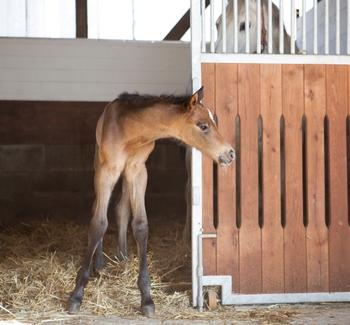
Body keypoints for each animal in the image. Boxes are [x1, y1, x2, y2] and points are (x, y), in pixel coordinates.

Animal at [67, 87, 235, 316]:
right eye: (203, 126)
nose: (230, 153)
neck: (130, 132)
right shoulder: (108, 170)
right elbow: (98, 223)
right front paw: (77, 294)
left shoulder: (138, 170)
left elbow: (140, 225)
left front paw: (146, 298)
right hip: (99, 166)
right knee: (98, 208)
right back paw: (99, 264)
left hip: (127, 174)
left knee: (121, 209)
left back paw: (123, 257)